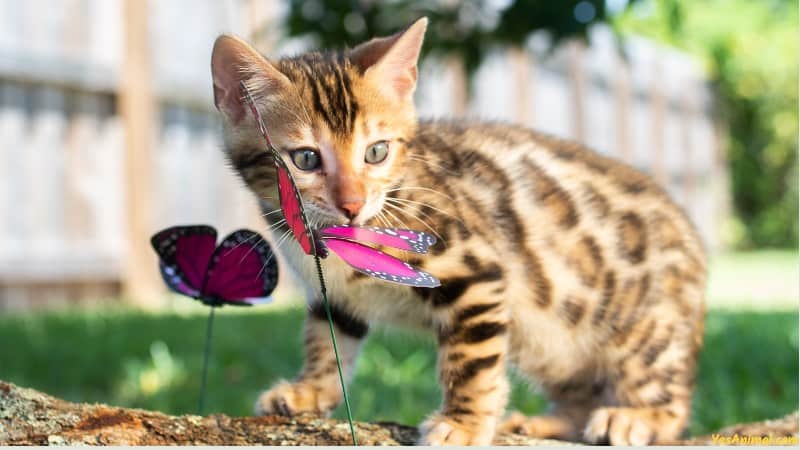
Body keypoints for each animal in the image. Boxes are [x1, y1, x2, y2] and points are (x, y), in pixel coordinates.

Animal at [209, 18, 704, 446]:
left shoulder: (475, 271)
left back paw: (637, 417)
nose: (352, 205)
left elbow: (473, 361)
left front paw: (464, 423)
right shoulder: (334, 292)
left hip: (640, 335)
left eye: (377, 152)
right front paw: (311, 389)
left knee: (672, 400)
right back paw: (545, 422)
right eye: (307, 158)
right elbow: (326, 338)